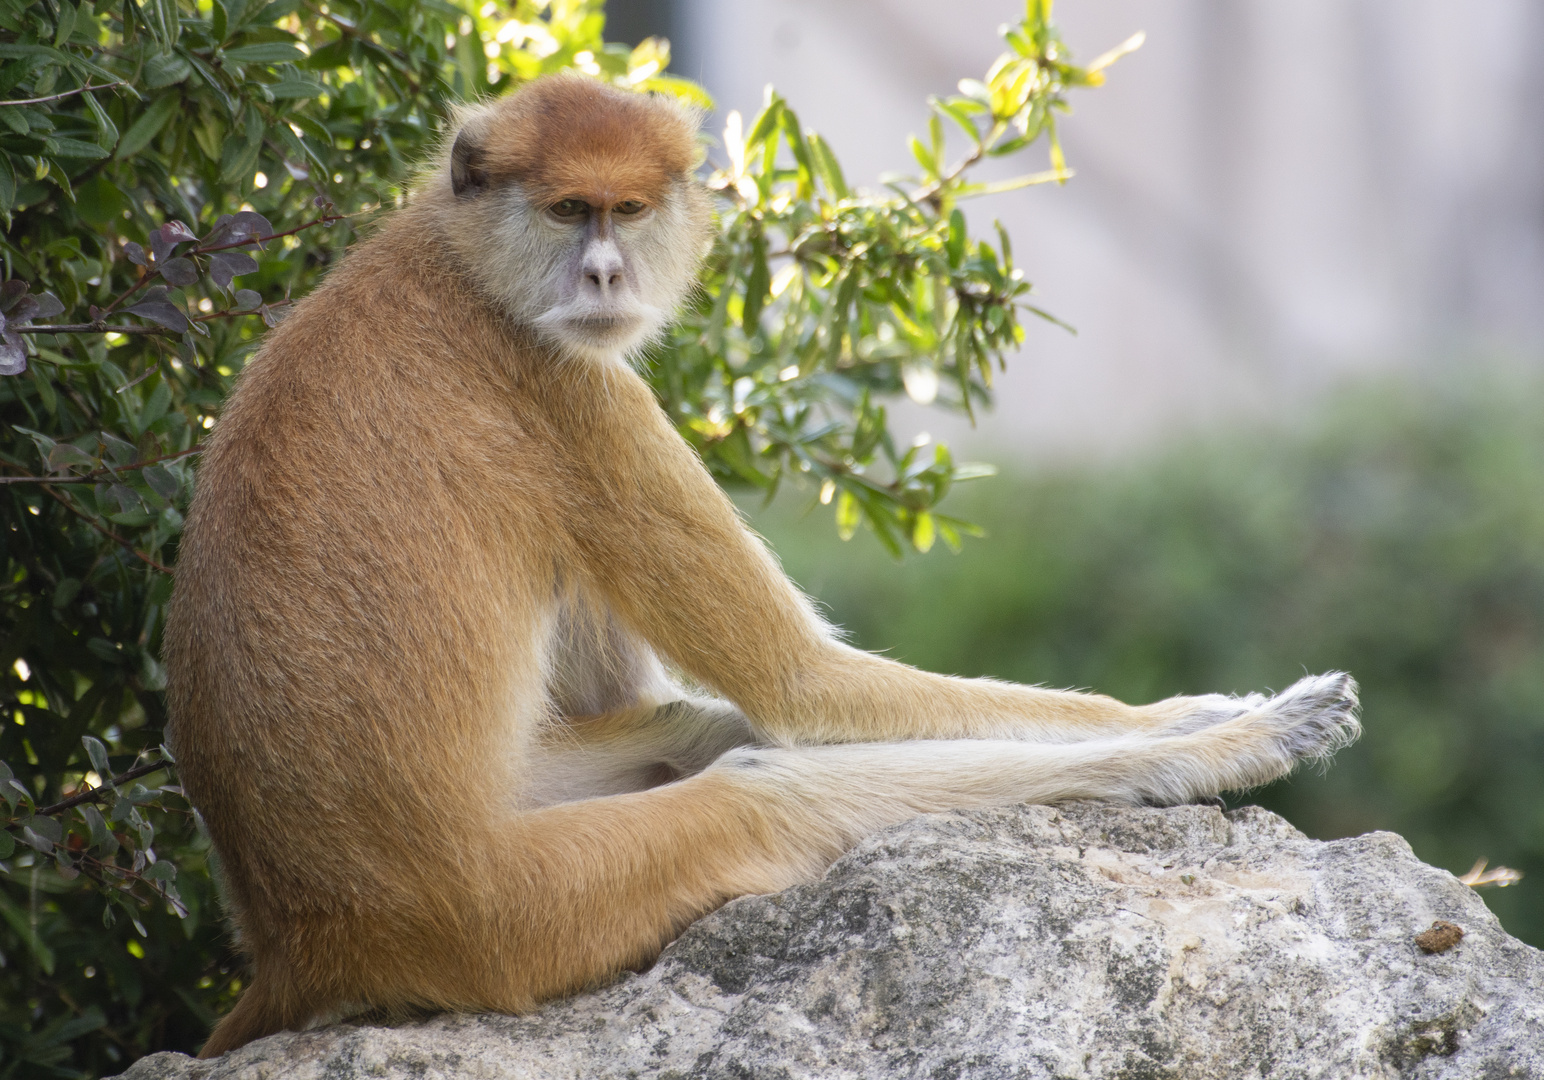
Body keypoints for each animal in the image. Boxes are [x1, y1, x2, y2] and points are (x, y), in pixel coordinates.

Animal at [162, 76, 1358, 1056]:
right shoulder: (570, 392)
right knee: (757, 792)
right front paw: (1210, 729)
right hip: (498, 916)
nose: (603, 270)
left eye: (628, 211)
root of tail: (307, 932)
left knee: (700, 736)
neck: (458, 260)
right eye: (567, 211)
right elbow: (803, 686)